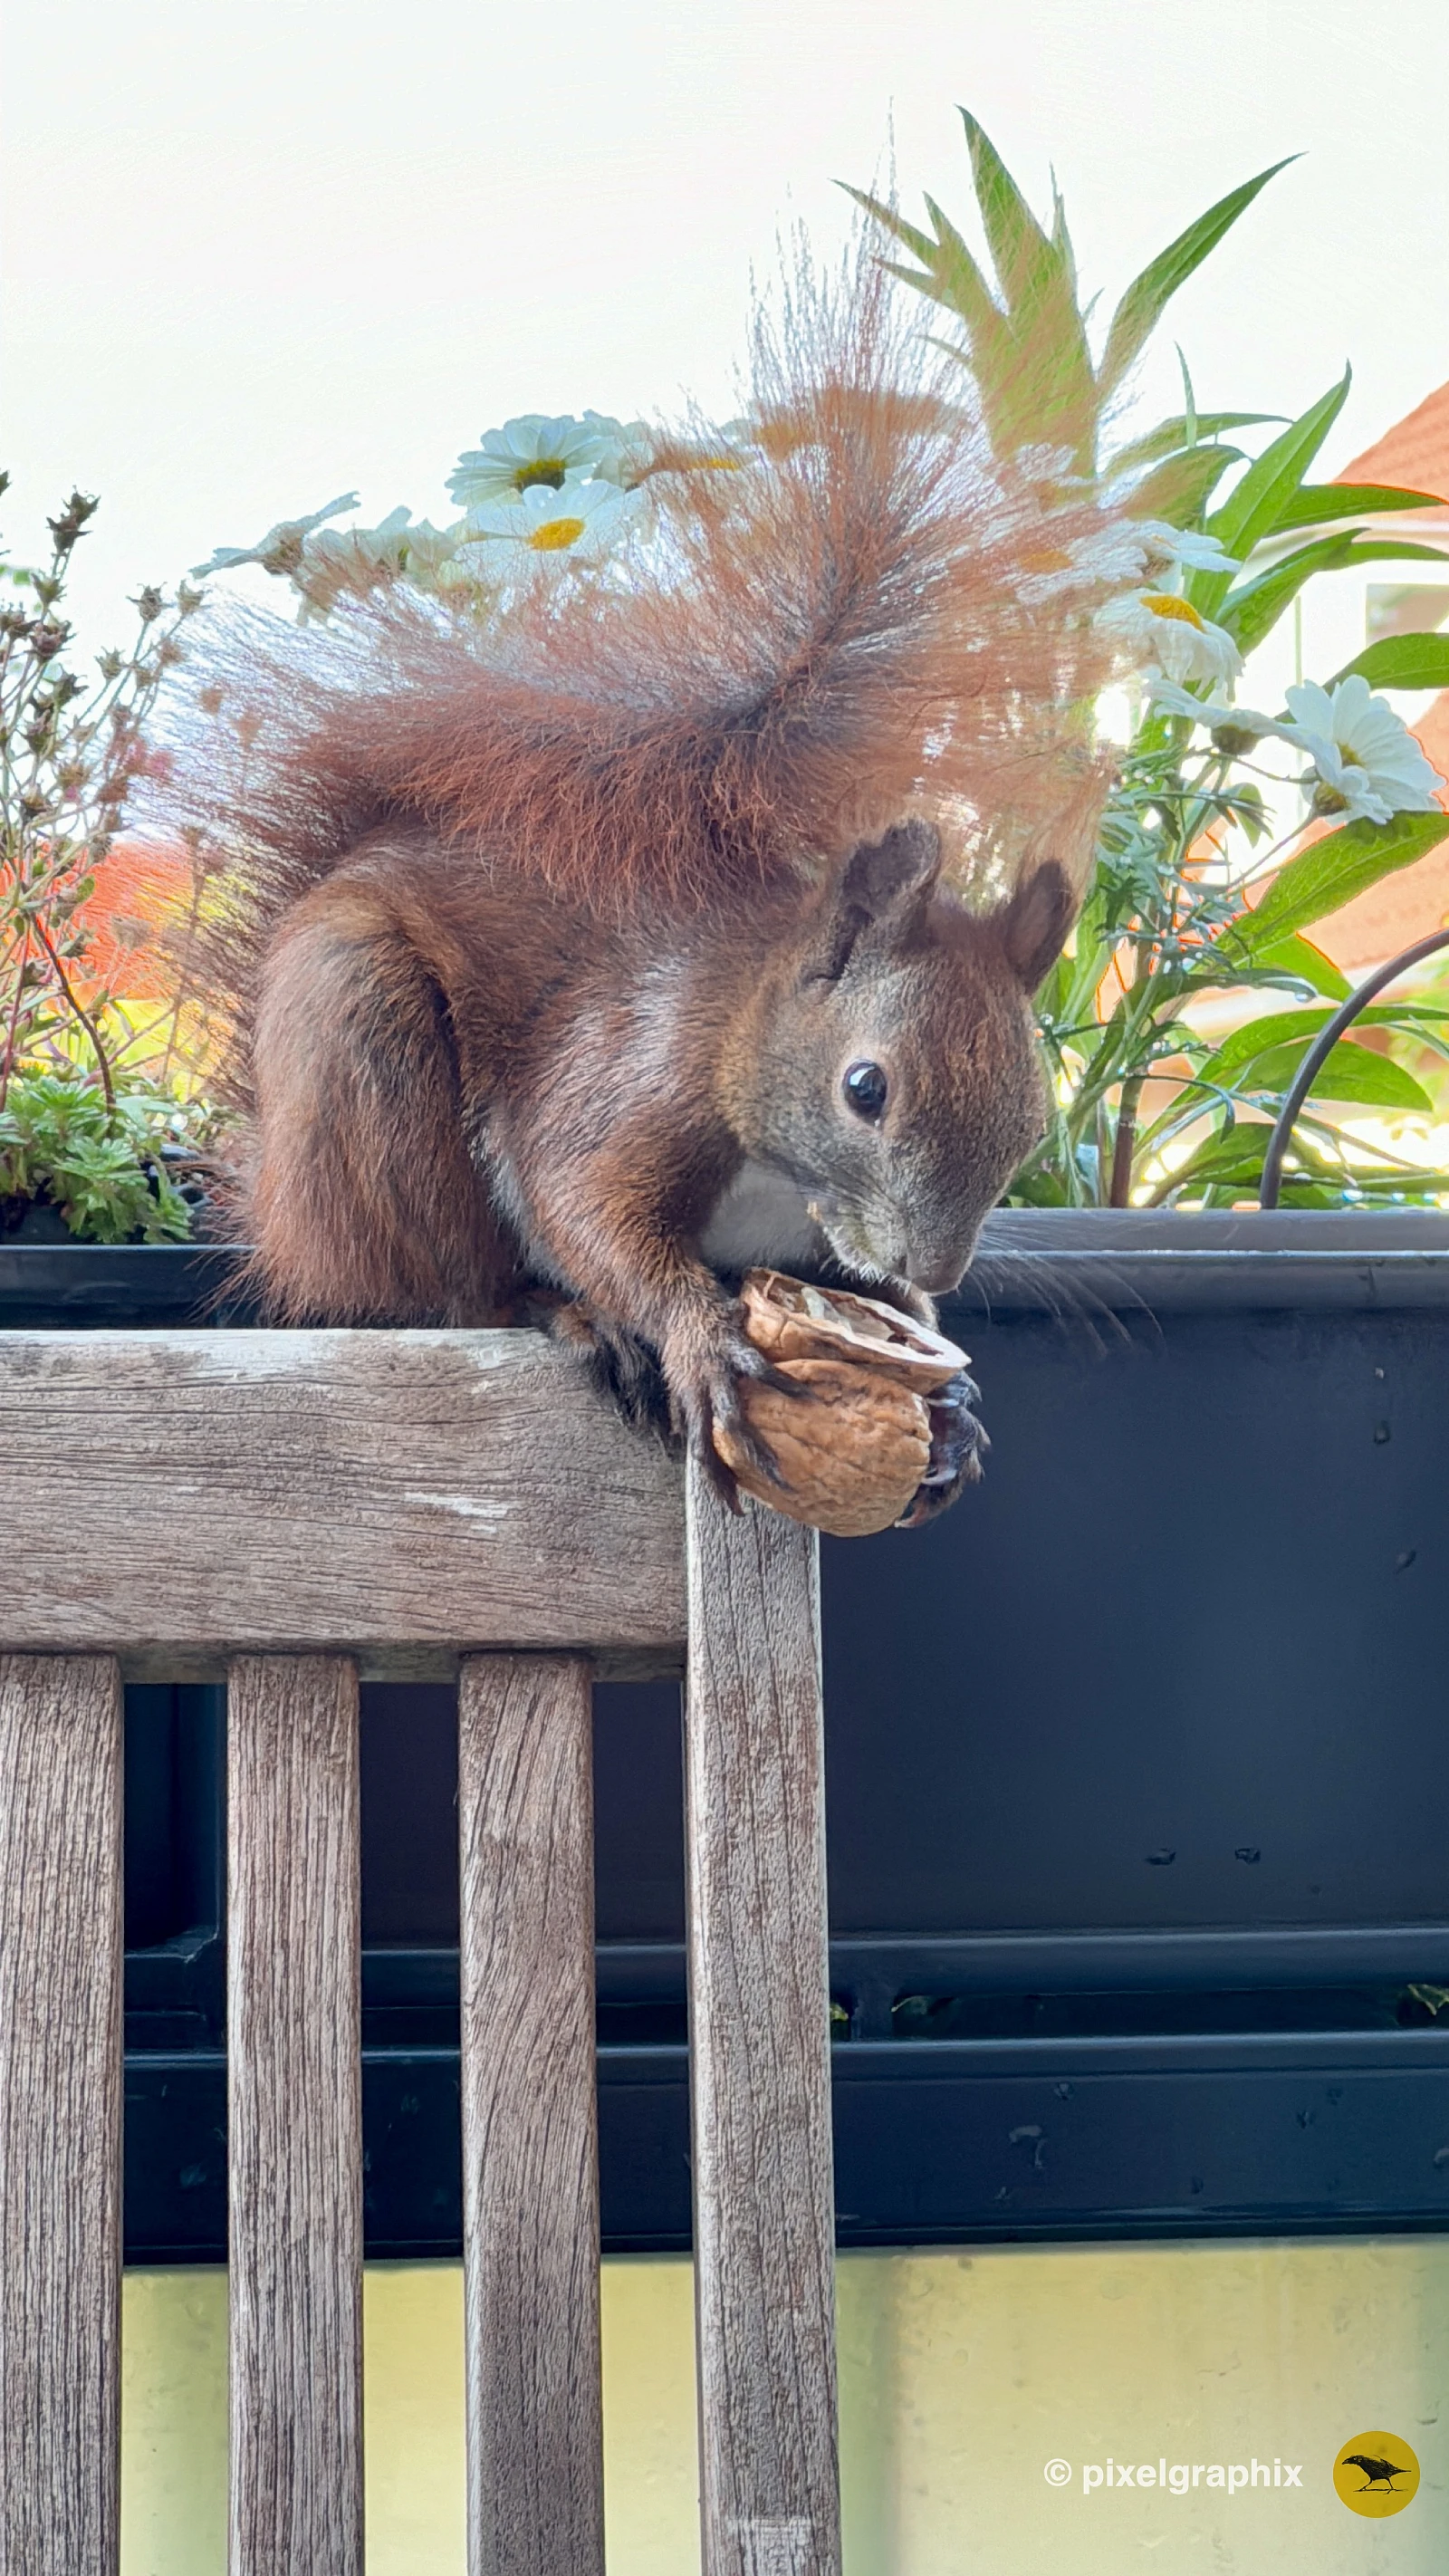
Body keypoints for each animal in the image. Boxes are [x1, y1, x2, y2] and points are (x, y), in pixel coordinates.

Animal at [163, 256, 1126, 1514]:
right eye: (865, 1089)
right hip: (363, 1049)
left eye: (1031, 1120)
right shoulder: (625, 1082)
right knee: (448, 1283)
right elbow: (588, 1208)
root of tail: (281, 1205)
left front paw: (952, 1402)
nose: (934, 1264)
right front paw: (695, 1337)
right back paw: (561, 1315)